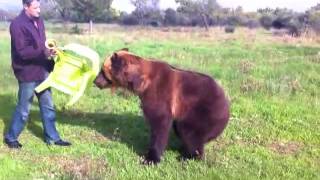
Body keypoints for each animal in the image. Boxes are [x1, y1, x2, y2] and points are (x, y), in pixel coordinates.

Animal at [93, 49, 230, 165]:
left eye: (102, 70)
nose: (95, 81)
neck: (140, 82)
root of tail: (226, 100)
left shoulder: (159, 92)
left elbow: (160, 124)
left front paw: (150, 159)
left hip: (202, 110)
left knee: (189, 131)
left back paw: (188, 156)